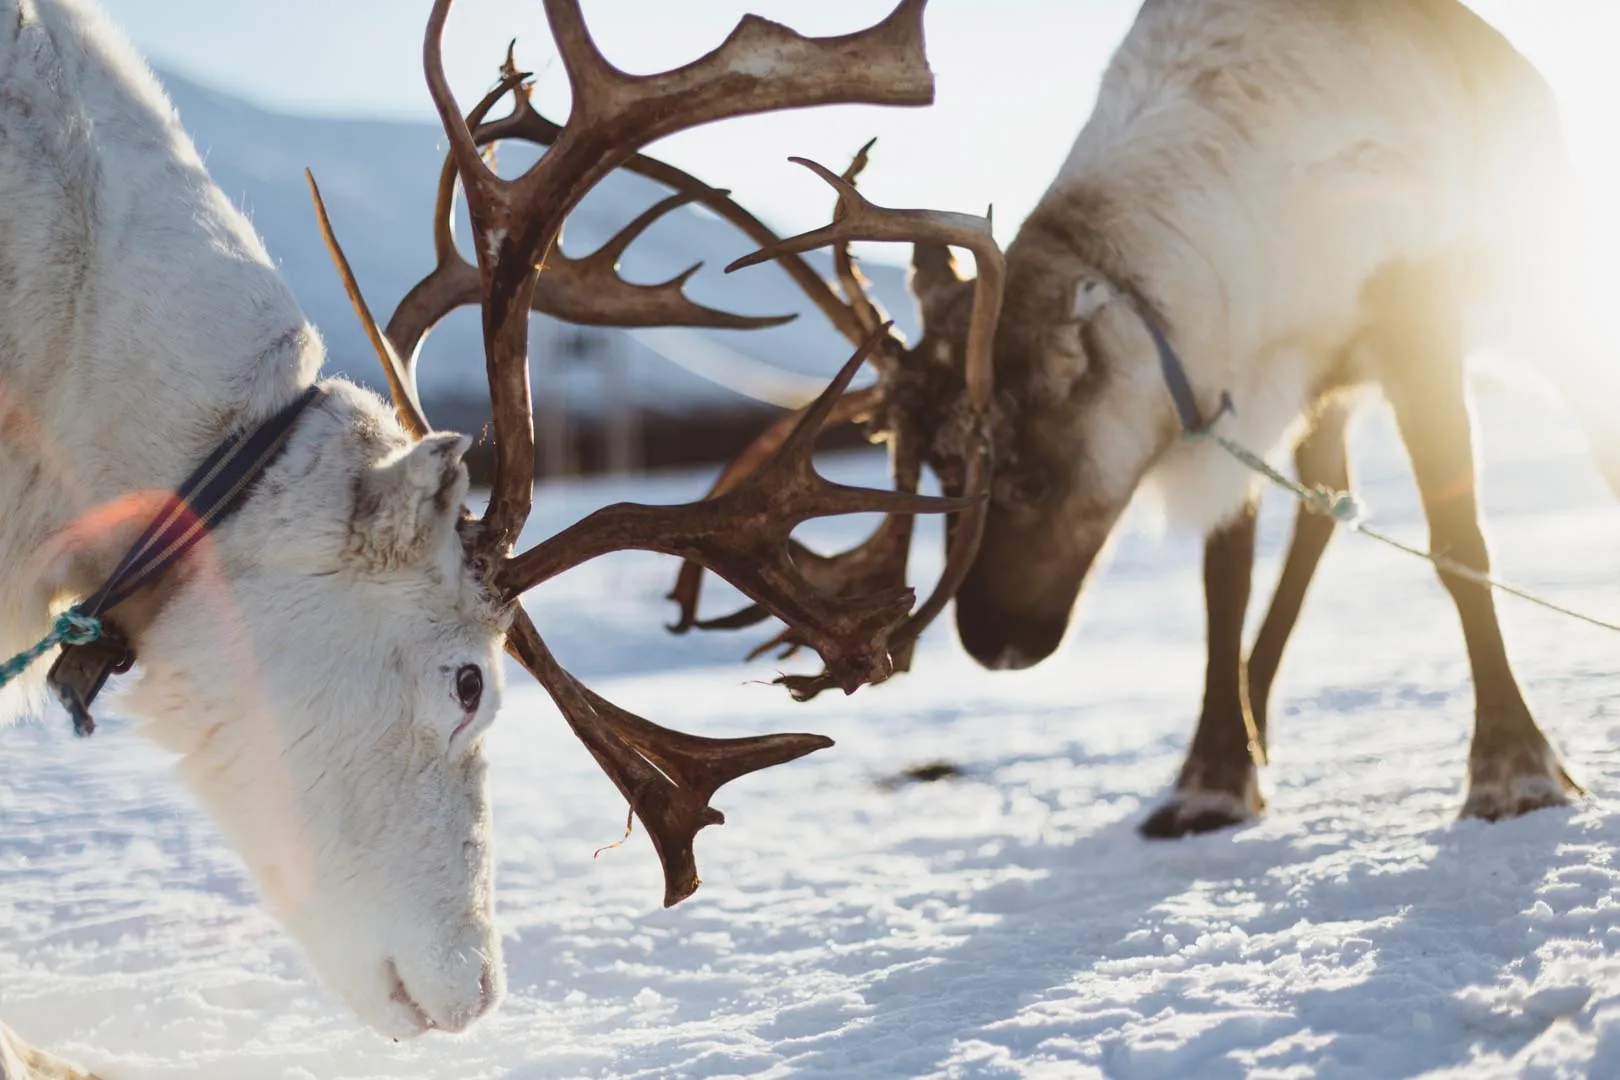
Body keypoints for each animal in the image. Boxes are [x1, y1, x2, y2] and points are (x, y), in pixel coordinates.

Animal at [669, 0, 1620, 838]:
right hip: (1330, 390)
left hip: (1538, 294)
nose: (994, 648)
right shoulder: (1234, 391)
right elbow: (1221, 587)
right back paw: (1254, 714)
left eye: (1032, 477)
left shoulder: (1412, 313)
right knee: (1323, 505)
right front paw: (1212, 777)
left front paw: (1515, 771)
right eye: (938, 477)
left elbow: (1461, 547)